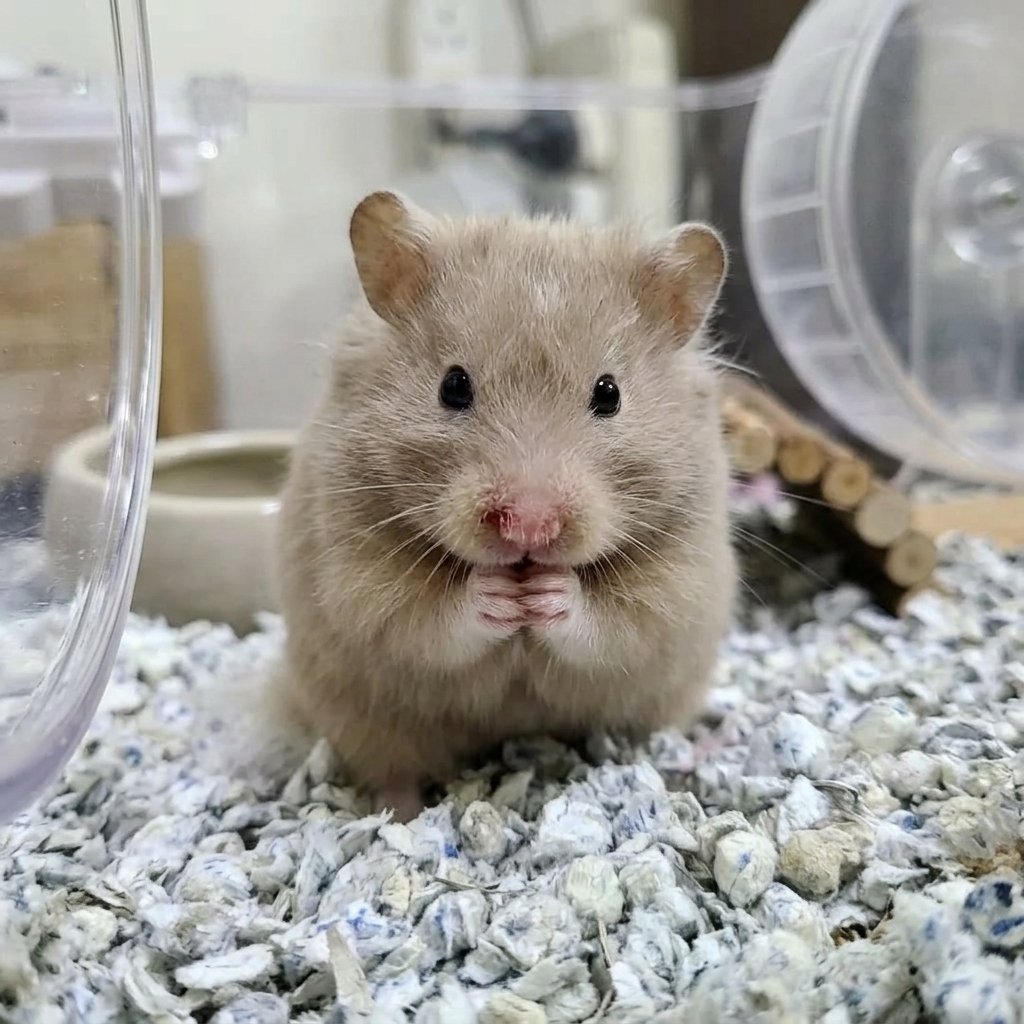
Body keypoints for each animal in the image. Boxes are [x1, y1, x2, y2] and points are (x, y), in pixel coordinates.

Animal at [272, 190, 736, 821]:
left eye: (609, 394)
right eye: (453, 386)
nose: (529, 526)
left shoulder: (677, 575)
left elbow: (615, 624)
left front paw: (545, 596)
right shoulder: (356, 566)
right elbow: (423, 621)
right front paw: (499, 596)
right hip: (360, 718)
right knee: (392, 768)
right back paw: (399, 813)